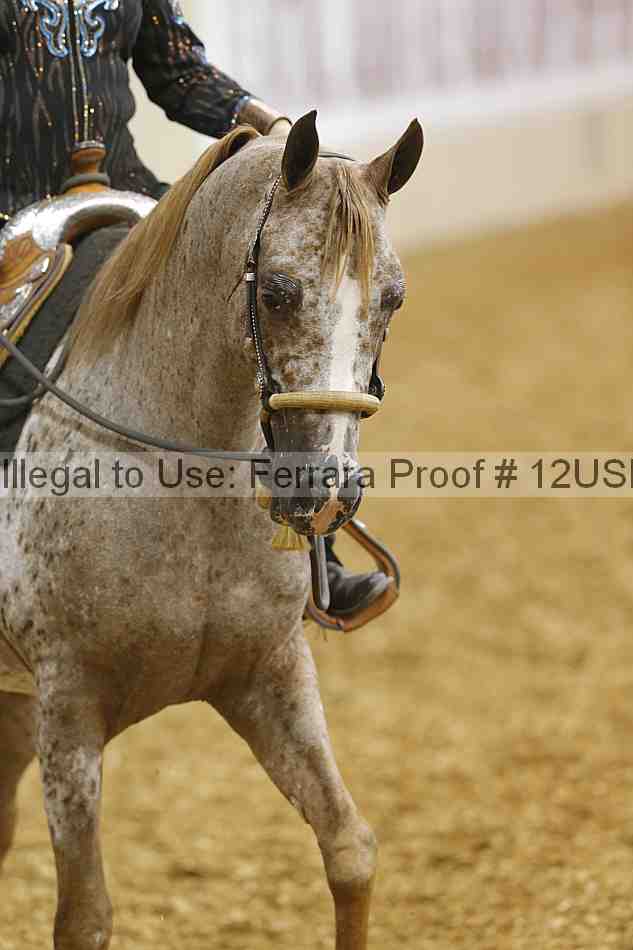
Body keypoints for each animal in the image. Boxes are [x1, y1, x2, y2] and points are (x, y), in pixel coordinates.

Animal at [0, 111, 423, 950]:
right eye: (279, 292)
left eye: (391, 299)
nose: (322, 488)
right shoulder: (68, 710)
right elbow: (83, 918)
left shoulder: (270, 674)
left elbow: (349, 849)